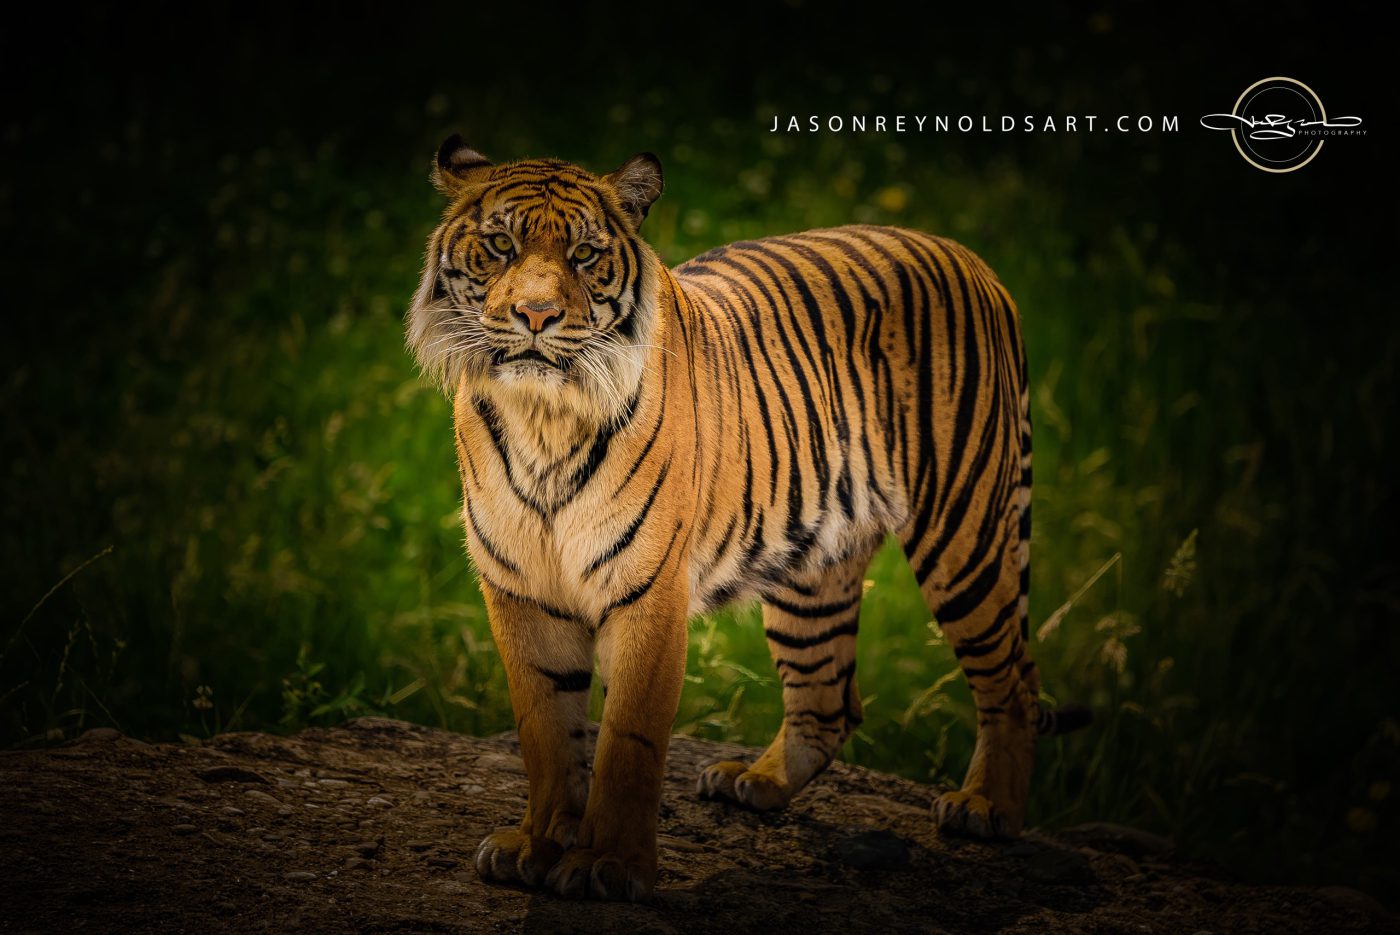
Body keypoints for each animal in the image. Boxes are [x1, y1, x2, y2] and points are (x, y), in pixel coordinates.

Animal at [405, 136, 1088, 903]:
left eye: (584, 255)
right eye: (500, 245)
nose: (536, 315)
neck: (544, 415)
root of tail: (970, 257)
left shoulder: (649, 590)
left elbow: (627, 740)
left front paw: (609, 864)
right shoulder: (520, 588)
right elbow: (546, 732)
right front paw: (535, 845)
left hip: (964, 530)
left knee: (1012, 680)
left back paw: (986, 808)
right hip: (812, 563)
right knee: (829, 694)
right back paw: (754, 782)